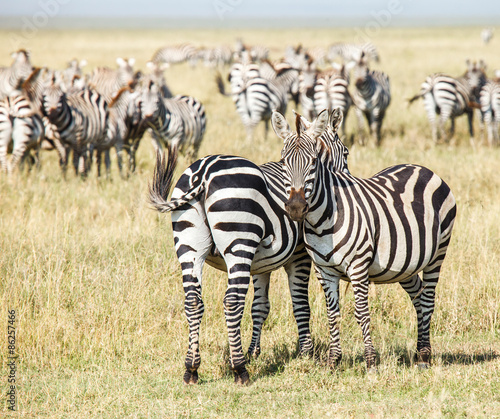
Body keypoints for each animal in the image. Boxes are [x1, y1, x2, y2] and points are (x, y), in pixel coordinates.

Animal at [148, 109, 350, 388]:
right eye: (346, 152)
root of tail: (203, 172)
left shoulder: (261, 265)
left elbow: (260, 307)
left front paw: (254, 351)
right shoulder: (298, 256)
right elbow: (300, 304)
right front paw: (305, 353)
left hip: (188, 246)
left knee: (193, 301)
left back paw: (192, 369)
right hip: (239, 243)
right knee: (232, 301)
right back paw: (239, 370)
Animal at [274, 107, 458, 370]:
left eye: (313, 162)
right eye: (283, 162)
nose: (296, 208)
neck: (322, 220)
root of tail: (421, 167)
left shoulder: (358, 265)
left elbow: (361, 312)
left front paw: (370, 360)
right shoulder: (323, 269)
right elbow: (332, 313)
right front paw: (333, 360)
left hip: (438, 253)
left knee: (429, 298)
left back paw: (424, 355)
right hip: (406, 263)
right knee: (419, 295)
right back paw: (419, 350)